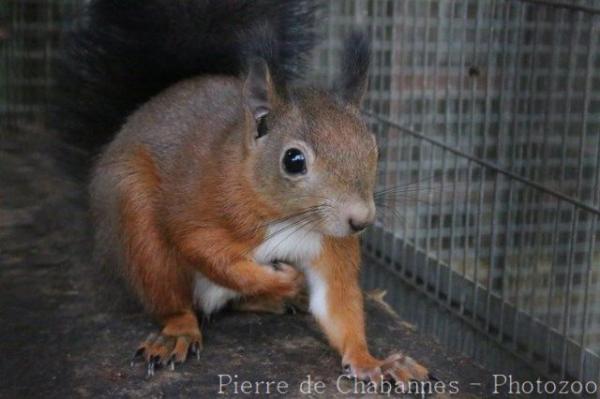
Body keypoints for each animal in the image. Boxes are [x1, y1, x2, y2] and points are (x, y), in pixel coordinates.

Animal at [56, 0, 428, 386]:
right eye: (293, 161)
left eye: (374, 148)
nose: (362, 220)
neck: (288, 218)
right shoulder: (201, 211)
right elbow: (208, 252)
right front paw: (280, 280)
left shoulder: (331, 243)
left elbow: (338, 302)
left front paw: (372, 362)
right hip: (138, 226)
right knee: (172, 300)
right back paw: (180, 331)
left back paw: (279, 300)